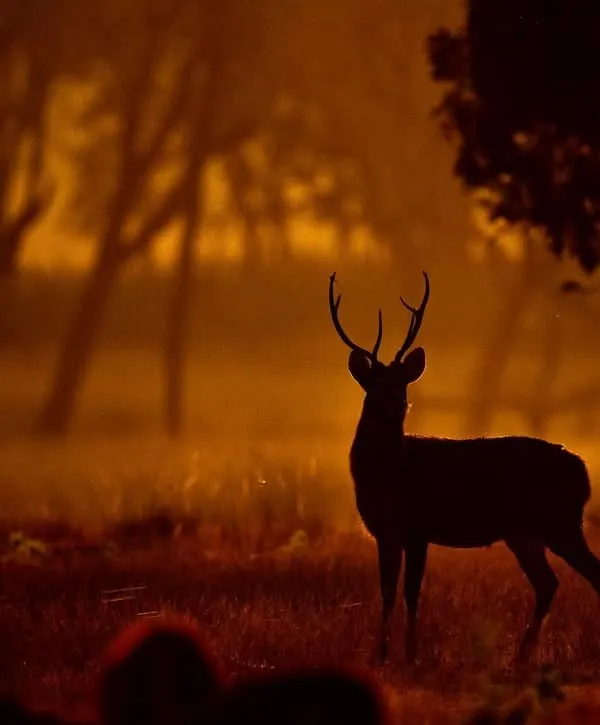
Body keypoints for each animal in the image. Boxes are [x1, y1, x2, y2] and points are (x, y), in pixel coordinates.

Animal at [329, 271, 600, 665]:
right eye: (373, 385)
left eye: (402, 384)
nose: (396, 405)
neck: (390, 472)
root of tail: (584, 473)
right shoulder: (386, 532)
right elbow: (387, 592)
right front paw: (380, 656)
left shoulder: (417, 527)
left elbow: (411, 592)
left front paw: (411, 655)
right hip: (524, 532)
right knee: (548, 582)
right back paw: (520, 657)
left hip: (559, 521)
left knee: (589, 574)